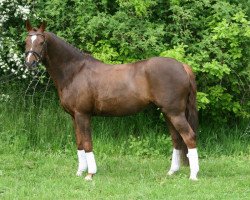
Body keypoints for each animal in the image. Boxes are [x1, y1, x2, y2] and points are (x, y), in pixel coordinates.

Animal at [23, 21, 199, 181]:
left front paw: (90, 174)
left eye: (41, 42)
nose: (29, 63)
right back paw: (172, 172)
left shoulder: (83, 115)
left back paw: (193, 175)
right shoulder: (74, 116)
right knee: (176, 139)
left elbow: (87, 143)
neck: (75, 71)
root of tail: (182, 66)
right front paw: (80, 172)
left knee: (189, 137)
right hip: (168, 113)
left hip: (175, 113)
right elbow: (79, 143)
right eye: (26, 41)